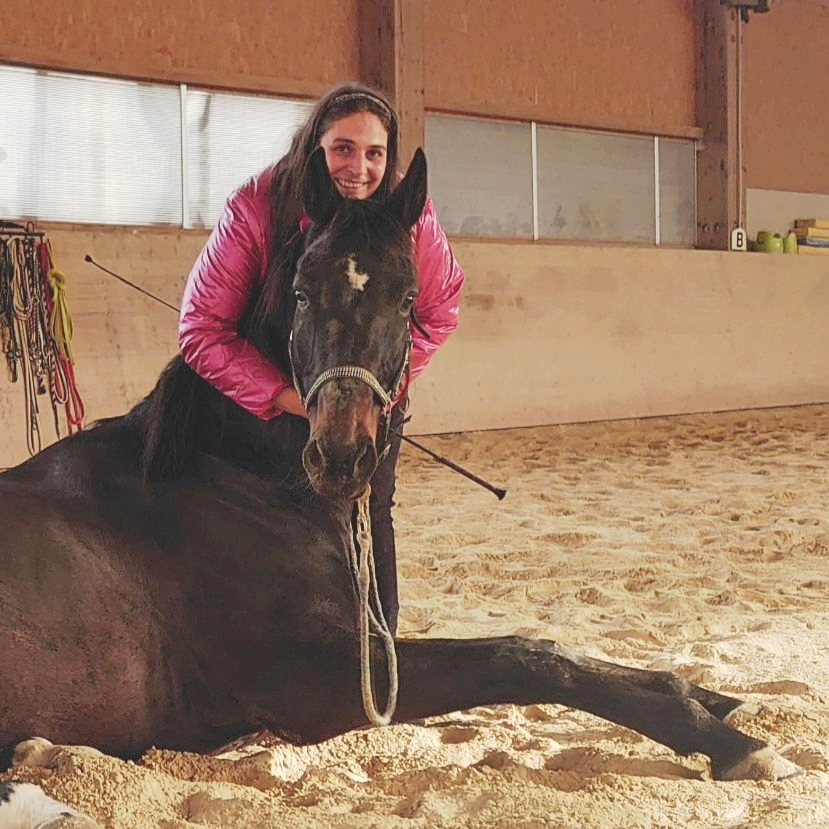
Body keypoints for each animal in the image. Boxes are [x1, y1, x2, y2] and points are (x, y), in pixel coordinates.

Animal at [0, 147, 799, 826]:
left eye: (408, 295)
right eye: (300, 292)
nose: (342, 455)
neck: (229, 478)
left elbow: (554, 649)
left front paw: (712, 696)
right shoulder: (316, 680)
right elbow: (525, 654)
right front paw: (729, 742)